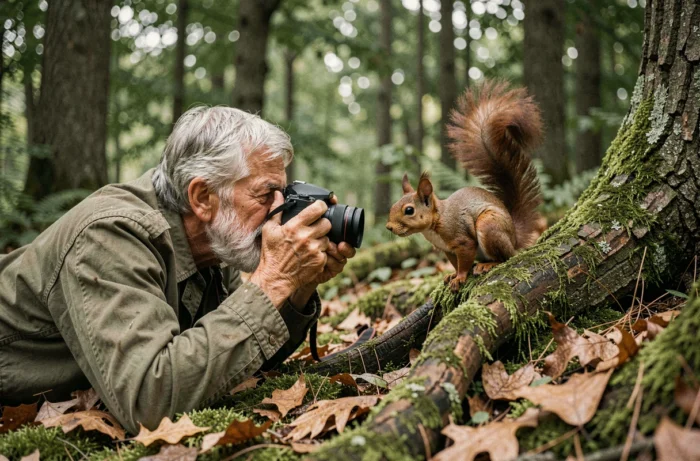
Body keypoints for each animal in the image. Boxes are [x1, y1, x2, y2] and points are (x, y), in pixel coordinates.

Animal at [385, 80, 547, 291]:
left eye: (409, 210)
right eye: (392, 206)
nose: (388, 227)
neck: (437, 221)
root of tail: (514, 237)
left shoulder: (462, 241)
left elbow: (464, 261)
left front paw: (460, 278)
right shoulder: (446, 249)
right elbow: (455, 264)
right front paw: (452, 275)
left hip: (489, 227)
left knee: (506, 257)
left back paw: (489, 264)